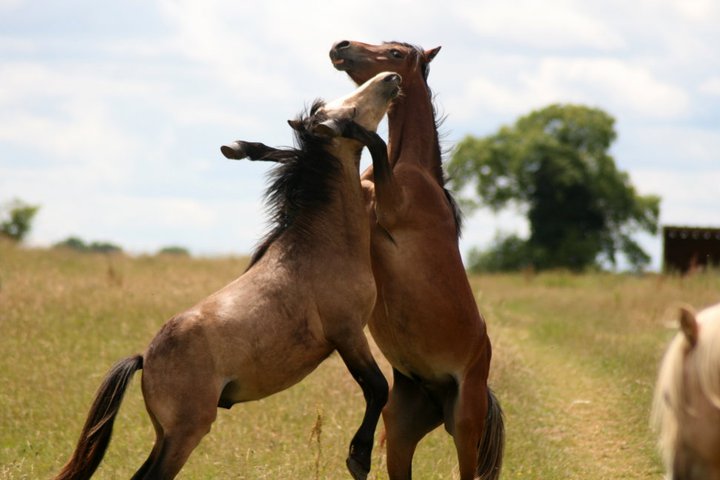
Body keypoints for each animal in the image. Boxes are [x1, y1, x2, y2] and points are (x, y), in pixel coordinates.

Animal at [54, 70, 404, 480]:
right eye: (348, 111)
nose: (391, 77)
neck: (320, 246)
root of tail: (145, 359)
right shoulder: (348, 334)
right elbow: (378, 388)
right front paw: (358, 457)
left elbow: (377, 389)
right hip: (185, 433)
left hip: (166, 435)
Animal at [330, 40, 504, 480]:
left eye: (394, 53)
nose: (340, 46)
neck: (409, 170)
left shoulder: (389, 209)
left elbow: (373, 143)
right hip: (401, 429)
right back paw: (358, 456)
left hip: (465, 427)